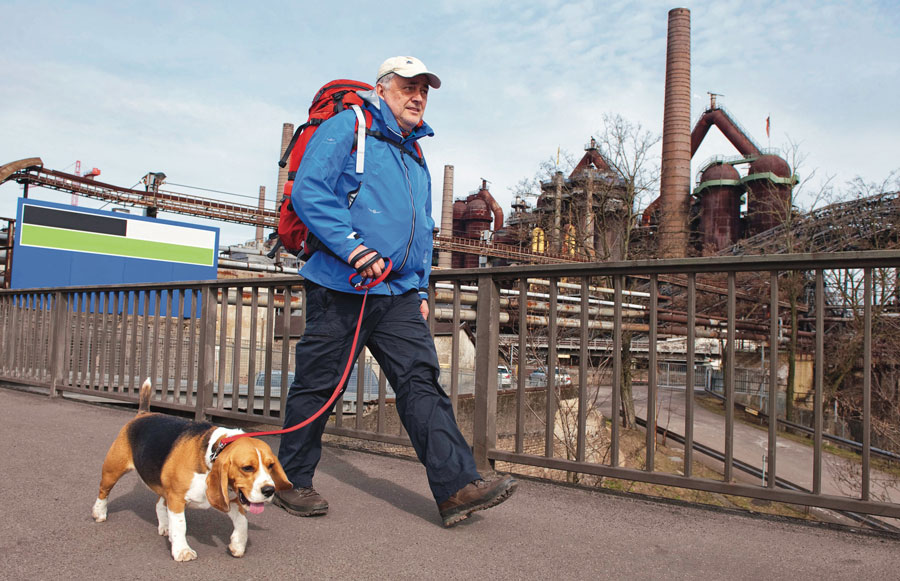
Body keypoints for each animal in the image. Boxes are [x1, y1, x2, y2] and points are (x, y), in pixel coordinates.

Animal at [91, 378, 290, 560]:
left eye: (270, 465)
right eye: (247, 468)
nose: (269, 490)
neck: (210, 454)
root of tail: (143, 414)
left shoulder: (228, 498)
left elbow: (243, 522)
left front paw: (238, 545)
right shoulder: (177, 498)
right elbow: (180, 525)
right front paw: (182, 551)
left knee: (159, 504)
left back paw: (165, 527)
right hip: (112, 470)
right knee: (103, 491)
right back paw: (99, 513)